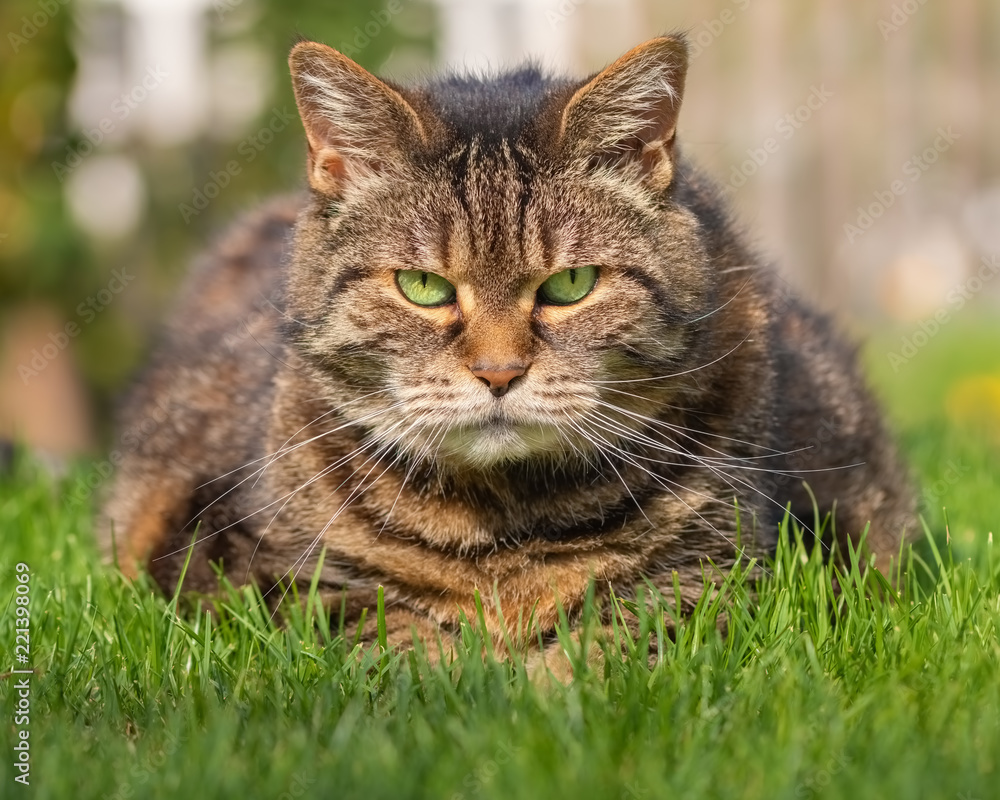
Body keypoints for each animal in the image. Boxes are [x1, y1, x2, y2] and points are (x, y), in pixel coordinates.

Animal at [99, 34, 916, 664]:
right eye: (424, 286)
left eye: (571, 284)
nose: (499, 372)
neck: (503, 524)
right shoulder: (284, 585)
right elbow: (404, 655)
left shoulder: (711, 580)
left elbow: (604, 657)